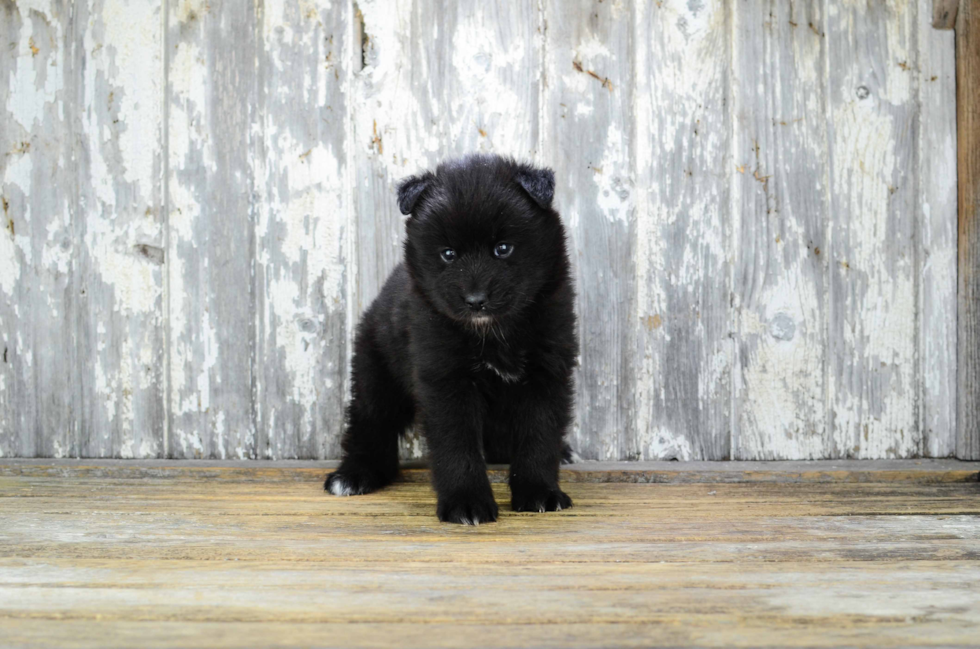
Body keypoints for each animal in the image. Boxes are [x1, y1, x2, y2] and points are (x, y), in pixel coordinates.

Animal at [326, 154, 580, 524]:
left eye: (503, 249)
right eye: (448, 254)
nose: (475, 300)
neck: (491, 333)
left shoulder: (546, 372)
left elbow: (539, 436)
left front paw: (539, 492)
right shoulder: (445, 378)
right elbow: (456, 443)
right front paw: (467, 503)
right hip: (375, 373)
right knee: (370, 423)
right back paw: (354, 474)